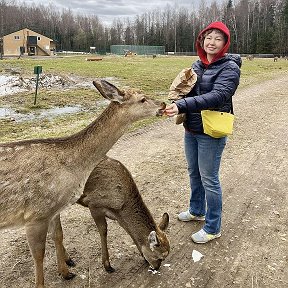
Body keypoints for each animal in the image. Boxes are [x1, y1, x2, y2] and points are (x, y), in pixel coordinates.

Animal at [0, 79, 165, 288]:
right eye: (142, 99)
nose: (163, 104)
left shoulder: (54, 209)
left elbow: (58, 234)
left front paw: (66, 272)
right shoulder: (36, 213)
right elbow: (39, 255)